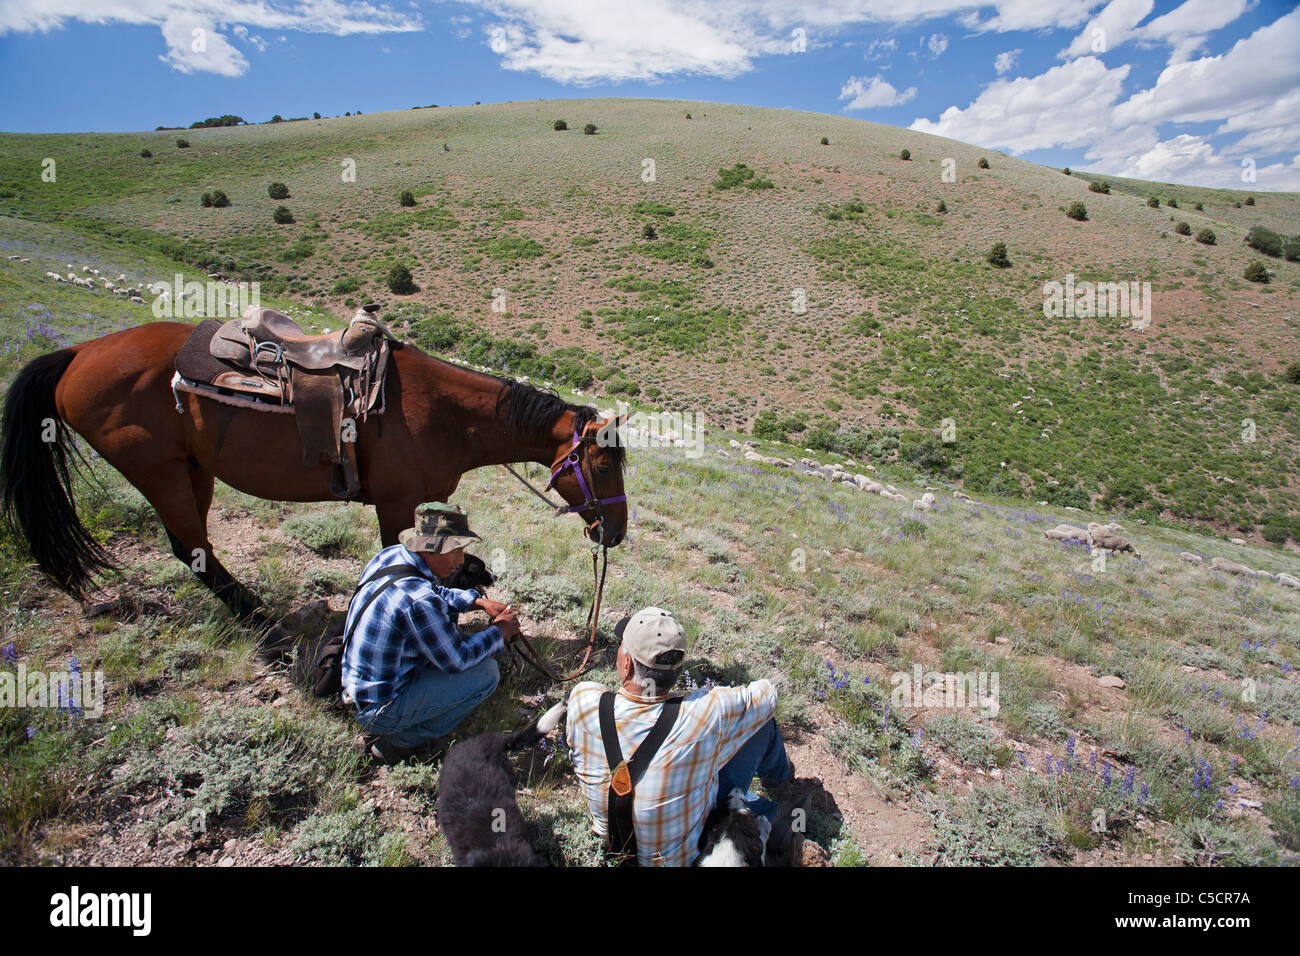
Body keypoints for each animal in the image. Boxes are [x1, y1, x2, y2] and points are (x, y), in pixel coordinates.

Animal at [0, 325, 629, 632]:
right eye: (602, 464)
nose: (616, 532)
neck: (442, 412)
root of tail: (79, 351)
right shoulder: (394, 503)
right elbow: (400, 563)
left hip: (193, 470)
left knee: (194, 548)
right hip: (160, 472)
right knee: (191, 550)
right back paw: (263, 623)